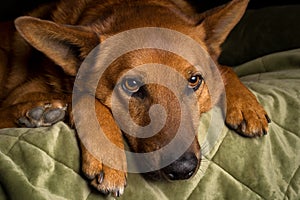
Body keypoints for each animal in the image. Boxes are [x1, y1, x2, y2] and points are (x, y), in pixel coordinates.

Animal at [0, 0, 270, 197]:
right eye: (131, 85)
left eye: (194, 80)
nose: (182, 170)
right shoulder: (23, 91)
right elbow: (85, 97)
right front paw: (107, 156)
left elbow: (225, 68)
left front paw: (247, 105)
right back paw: (37, 112)